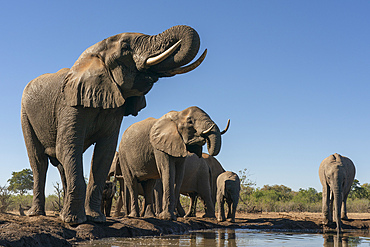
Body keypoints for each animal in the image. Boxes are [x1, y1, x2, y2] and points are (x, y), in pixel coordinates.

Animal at [20, 24, 207, 224]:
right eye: (125, 46)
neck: (93, 54)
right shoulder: (69, 104)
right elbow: (67, 147)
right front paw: (74, 221)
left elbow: (105, 152)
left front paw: (96, 219)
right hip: (25, 115)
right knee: (39, 162)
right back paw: (37, 214)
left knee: (62, 165)